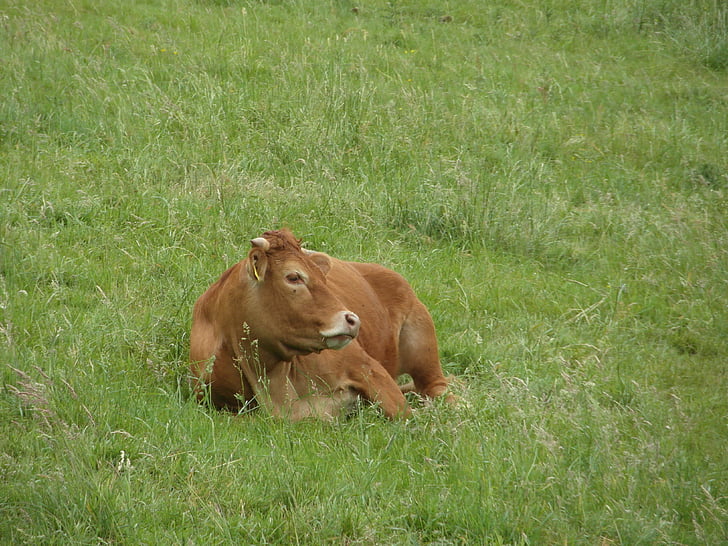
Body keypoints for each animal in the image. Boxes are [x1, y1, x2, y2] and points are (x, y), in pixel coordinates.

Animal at [188, 227, 450, 418]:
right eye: (294, 276)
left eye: (324, 278)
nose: (353, 320)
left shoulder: (368, 367)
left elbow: (407, 418)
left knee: (437, 386)